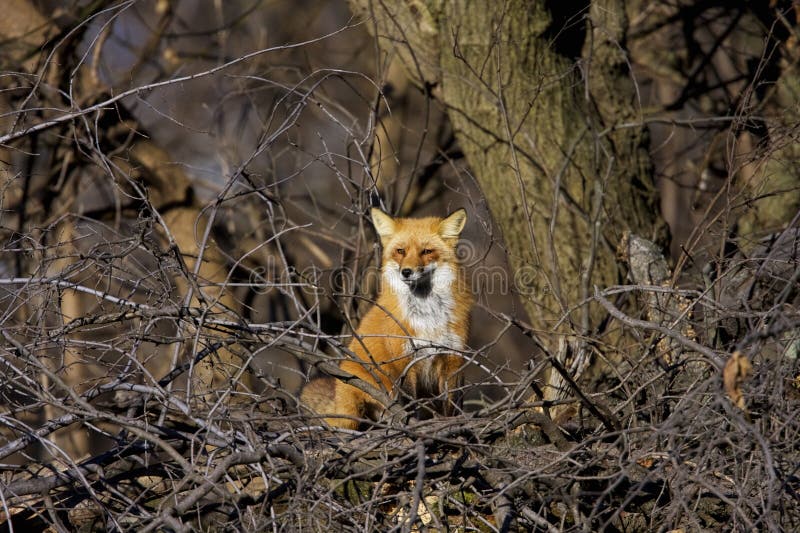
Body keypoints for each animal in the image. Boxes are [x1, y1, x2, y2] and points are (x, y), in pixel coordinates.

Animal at [300, 208, 472, 430]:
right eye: (400, 251)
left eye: (426, 252)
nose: (406, 272)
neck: (427, 316)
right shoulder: (404, 360)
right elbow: (410, 405)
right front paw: (413, 427)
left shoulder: (453, 358)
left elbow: (451, 405)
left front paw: (452, 424)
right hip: (356, 402)